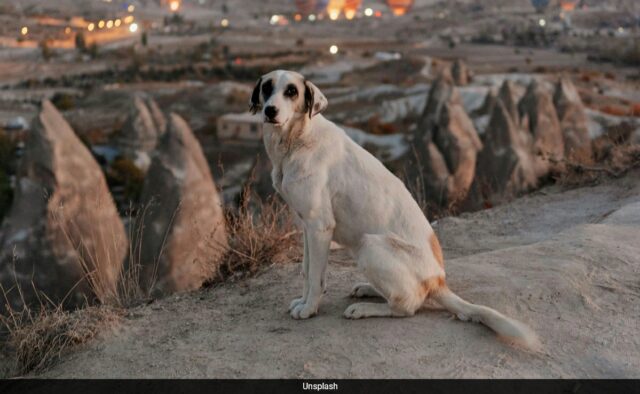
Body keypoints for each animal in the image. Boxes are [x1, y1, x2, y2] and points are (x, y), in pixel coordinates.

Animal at [250, 69, 540, 350]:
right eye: (267, 88)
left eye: (292, 91)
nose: (270, 111)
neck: (296, 140)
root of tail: (437, 281)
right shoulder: (307, 227)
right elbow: (305, 270)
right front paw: (302, 301)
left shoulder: (320, 226)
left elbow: (315, 277)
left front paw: (309, 309)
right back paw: (369, 289)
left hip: (369, 246)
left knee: (407, 306)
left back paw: (364, 308)